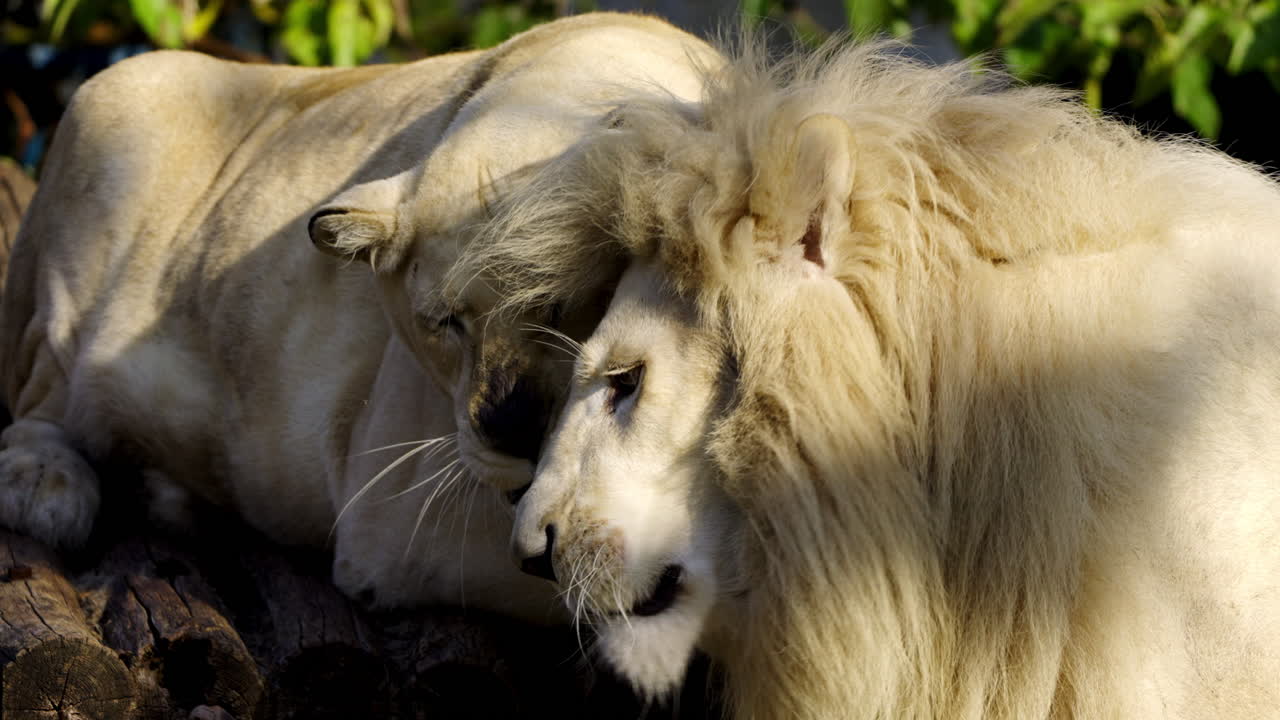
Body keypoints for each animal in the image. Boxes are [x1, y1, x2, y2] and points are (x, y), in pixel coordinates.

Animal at [0, 13, 720, 621]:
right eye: (445, 322)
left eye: (559, 302)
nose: (509, 432)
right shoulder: (405, 511)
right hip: (115, 114)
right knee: (41, 393)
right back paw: (46, 487)